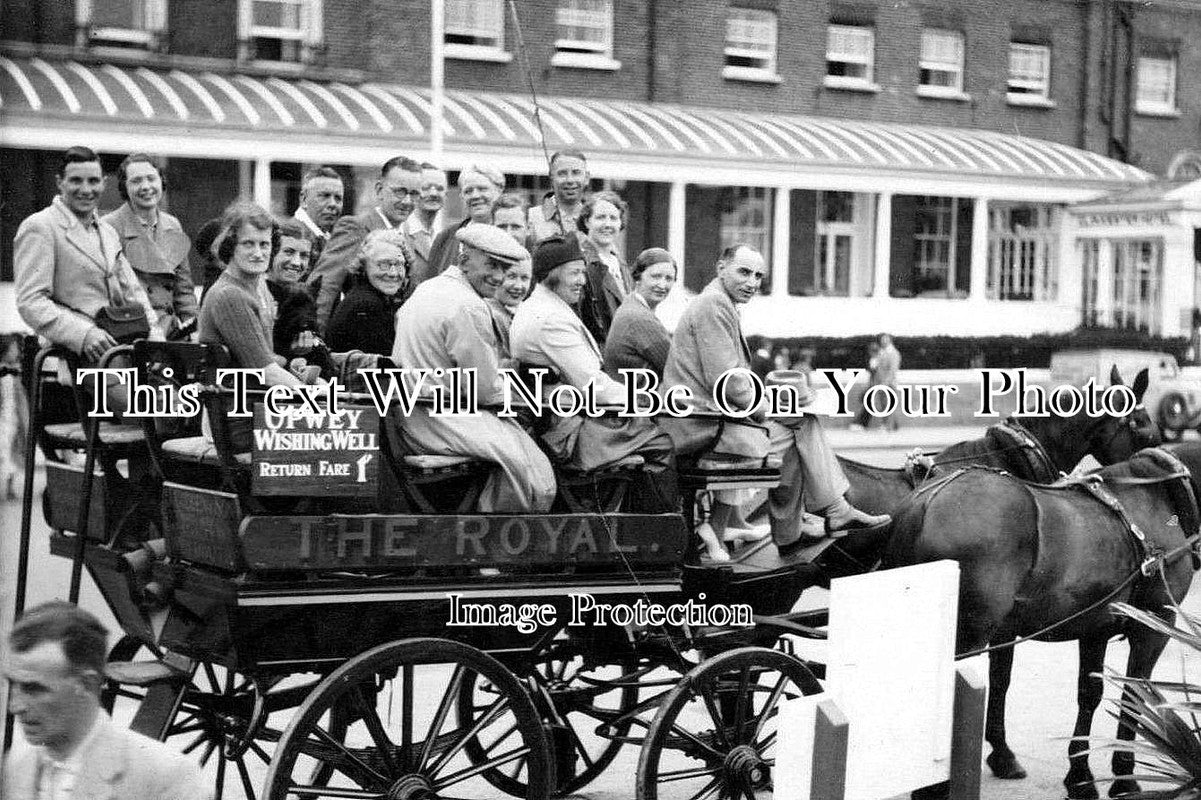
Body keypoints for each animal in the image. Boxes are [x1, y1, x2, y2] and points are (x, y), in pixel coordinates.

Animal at [883, 442, 1201, 797]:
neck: (1157, 499)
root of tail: (925, 503)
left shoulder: (1096, 627)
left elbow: (1088, 694)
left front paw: (1079, 775)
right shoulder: (1154, 624)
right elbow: (1134, 696)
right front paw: (1123, 779)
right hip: (969, 635)